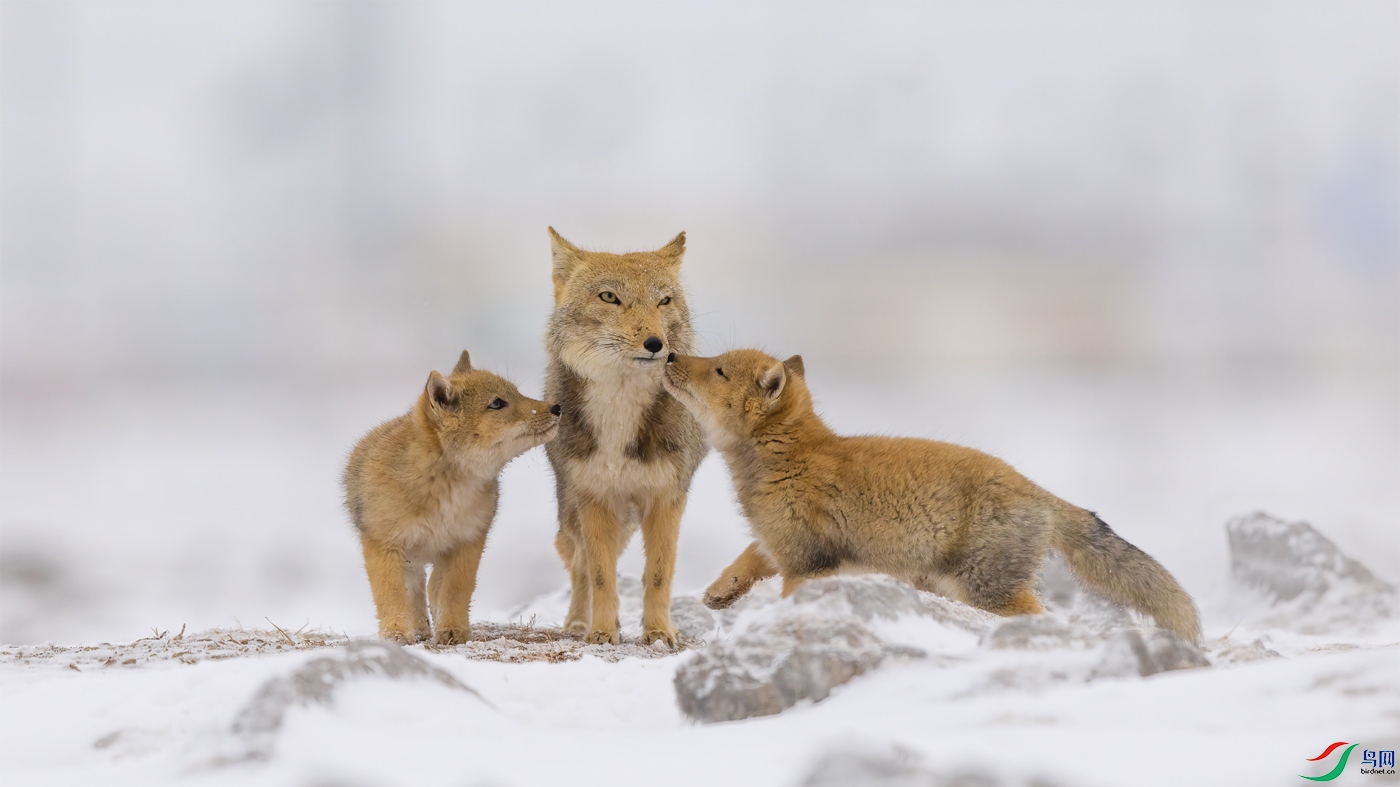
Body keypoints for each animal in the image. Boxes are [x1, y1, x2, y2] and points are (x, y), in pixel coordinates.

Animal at [343, 351, 560, 645]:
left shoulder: (467, 543)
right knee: (416, 589)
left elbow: (454, 592)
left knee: (431, 586)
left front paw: (453, 630)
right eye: (497, 403)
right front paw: (396, 633)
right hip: (409, 557)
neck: (444, 491)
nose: (557, 407)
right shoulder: (383, 546)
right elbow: (392, 596)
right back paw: (418, 628)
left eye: (517, 393)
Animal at [543, 228, 707, 647]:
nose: (655, 344)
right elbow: (601, 575)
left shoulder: (667, 499)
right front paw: (602, 631)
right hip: (576, 517)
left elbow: (659, 574)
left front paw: (659, 632)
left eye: (663, 300)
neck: (619, 414)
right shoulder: (596, 500)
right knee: (581, 566)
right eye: (609, 297)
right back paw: (578, 623)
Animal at [662, 349, 1202, 643]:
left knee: (1041, 615)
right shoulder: (782, 545)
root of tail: (1038, 490)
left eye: (717, 371)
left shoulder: (807, 563)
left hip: (985, 589)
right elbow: (745, 562)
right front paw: (718, 593)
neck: (791, 457)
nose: (667, 354)